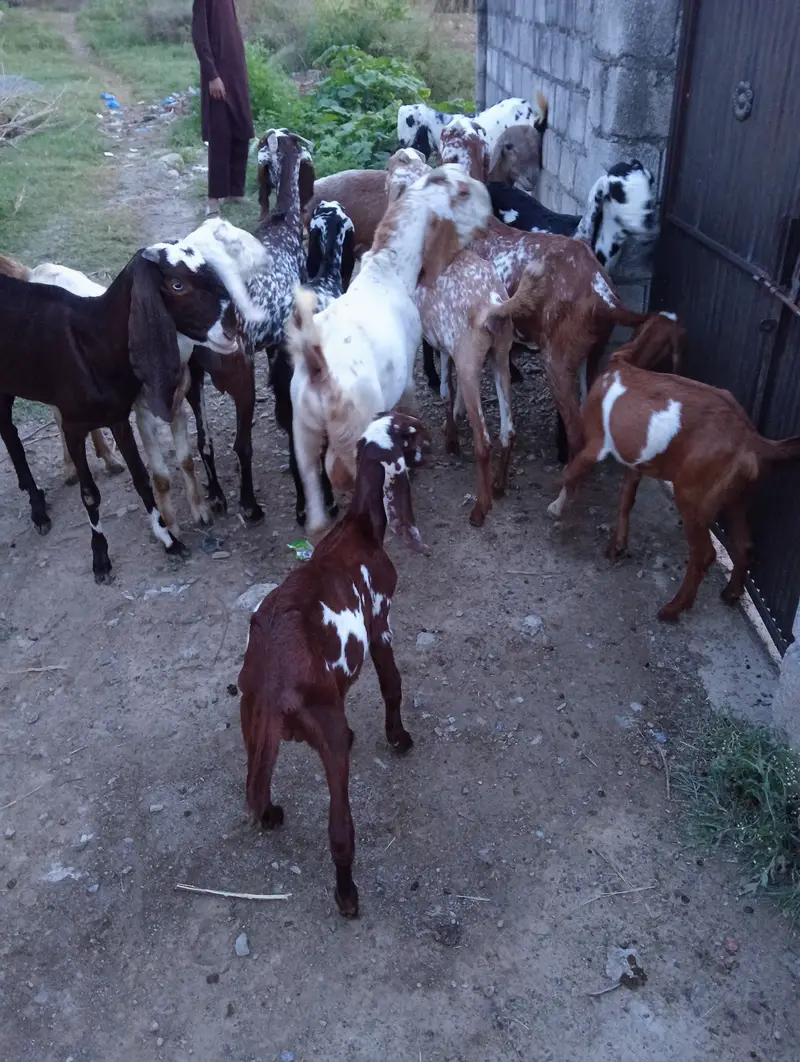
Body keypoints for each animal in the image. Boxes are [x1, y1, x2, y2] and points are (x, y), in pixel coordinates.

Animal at [238, 413, 427, 918]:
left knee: (257, 783)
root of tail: (275, 686)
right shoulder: (380, 622)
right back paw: (347, 895)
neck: (358, 527)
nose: (432, 447)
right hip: (327, 737)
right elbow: (392, 684)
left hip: (252, 720)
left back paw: (271, 815)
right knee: (340, 831)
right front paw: (398, 738)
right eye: (412, 434)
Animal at [287, 164, 492, 536]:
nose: (491, 209)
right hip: (350, 430)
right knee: (339, 470)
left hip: (304, 433)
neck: (387, 270)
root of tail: (319, 366)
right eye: (462, 192)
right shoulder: (407, 372)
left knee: (314, 494)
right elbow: (410, 408)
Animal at [547, 312, 800, 622]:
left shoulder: (595, 446)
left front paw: (555, 505)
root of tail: (753, 439)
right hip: (737, 500)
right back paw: (730, 593)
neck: (625, 361)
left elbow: (569, 474)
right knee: (745, 545)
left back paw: (674, 608)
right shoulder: (637, 462)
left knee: (704, 554)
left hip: (692, 497)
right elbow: (625, 502)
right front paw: (617, 546)